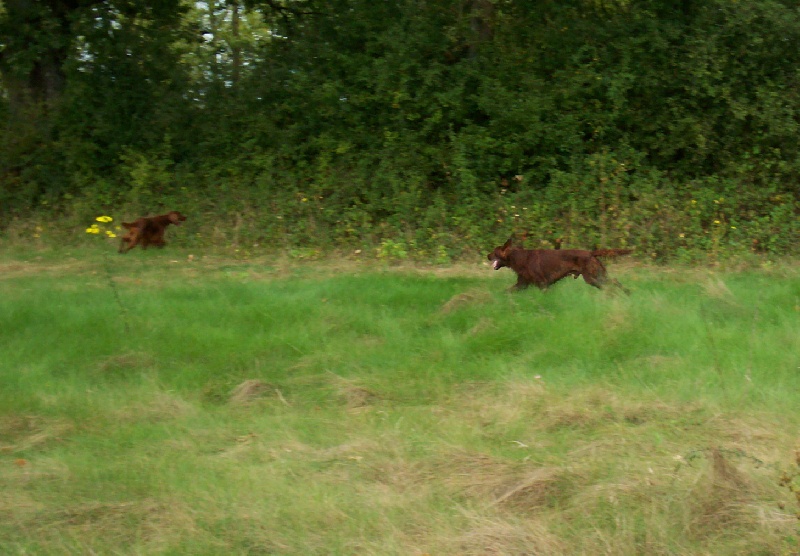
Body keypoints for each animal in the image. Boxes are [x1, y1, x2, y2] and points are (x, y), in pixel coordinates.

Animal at [488, 238, 632, 294]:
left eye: (494, 252)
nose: (487, 256)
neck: (520, 258)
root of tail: (590, 253)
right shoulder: (522, 284)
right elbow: (506, 291)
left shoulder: (543, 284)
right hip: (596, 276)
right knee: (613, 282)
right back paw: (626, 293)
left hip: (593, 277)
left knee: (612, 284)